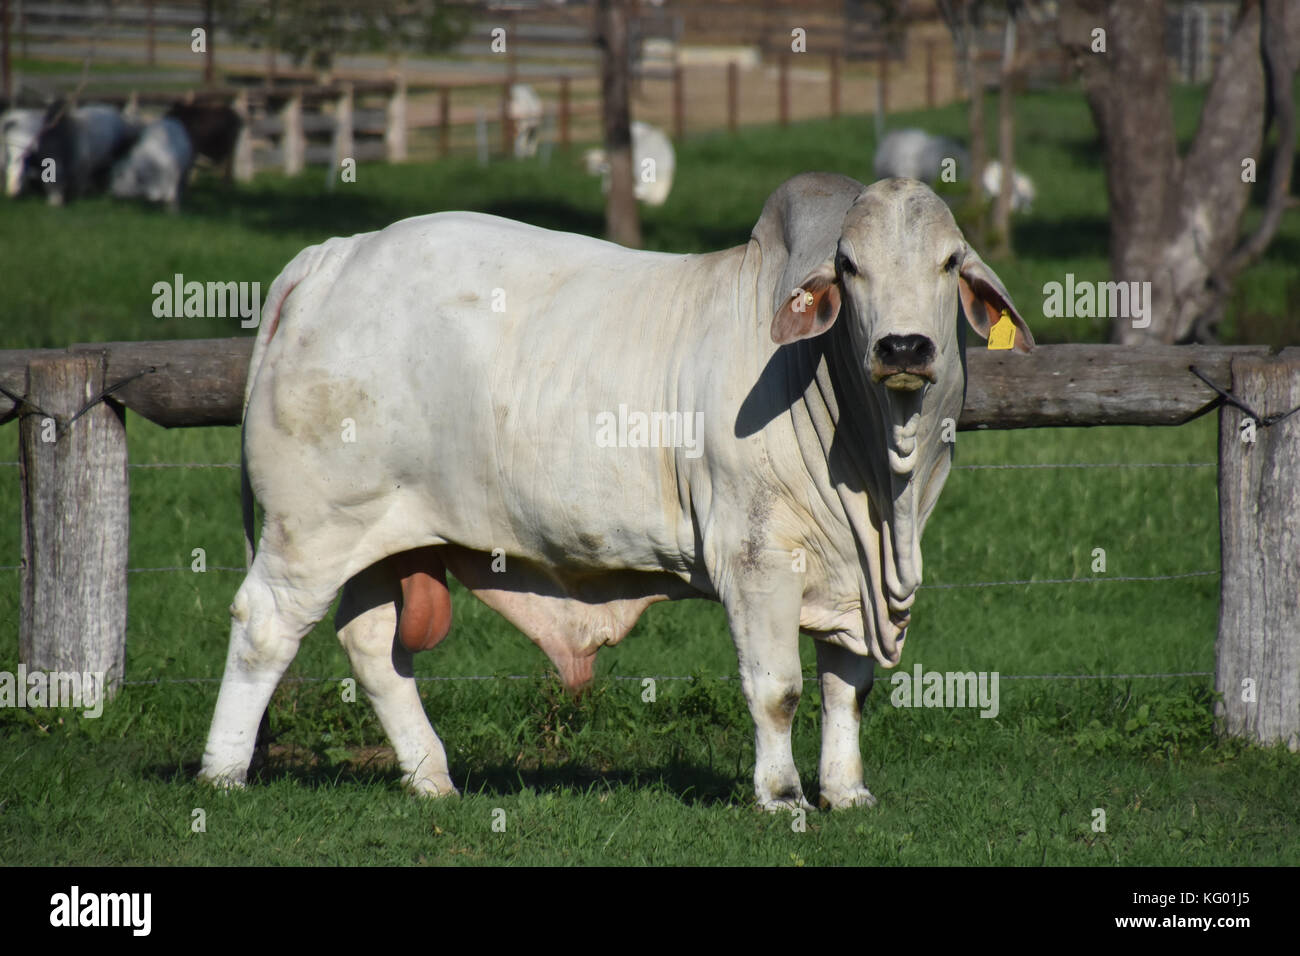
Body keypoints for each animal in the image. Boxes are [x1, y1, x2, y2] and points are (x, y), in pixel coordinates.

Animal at [200, 170, 1034, 806]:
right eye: (852, 267)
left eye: (949, 261)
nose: (904, 347)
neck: (884, 491)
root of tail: (332, 256)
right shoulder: (756, 559)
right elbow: (778, 688)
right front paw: (782, 795)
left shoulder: (853, 582)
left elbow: (844, 689)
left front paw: (848, 791)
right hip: (311, 527)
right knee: (265, 626)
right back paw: (223, 775)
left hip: (382, 536)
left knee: (371, 646)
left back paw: (432, 778)